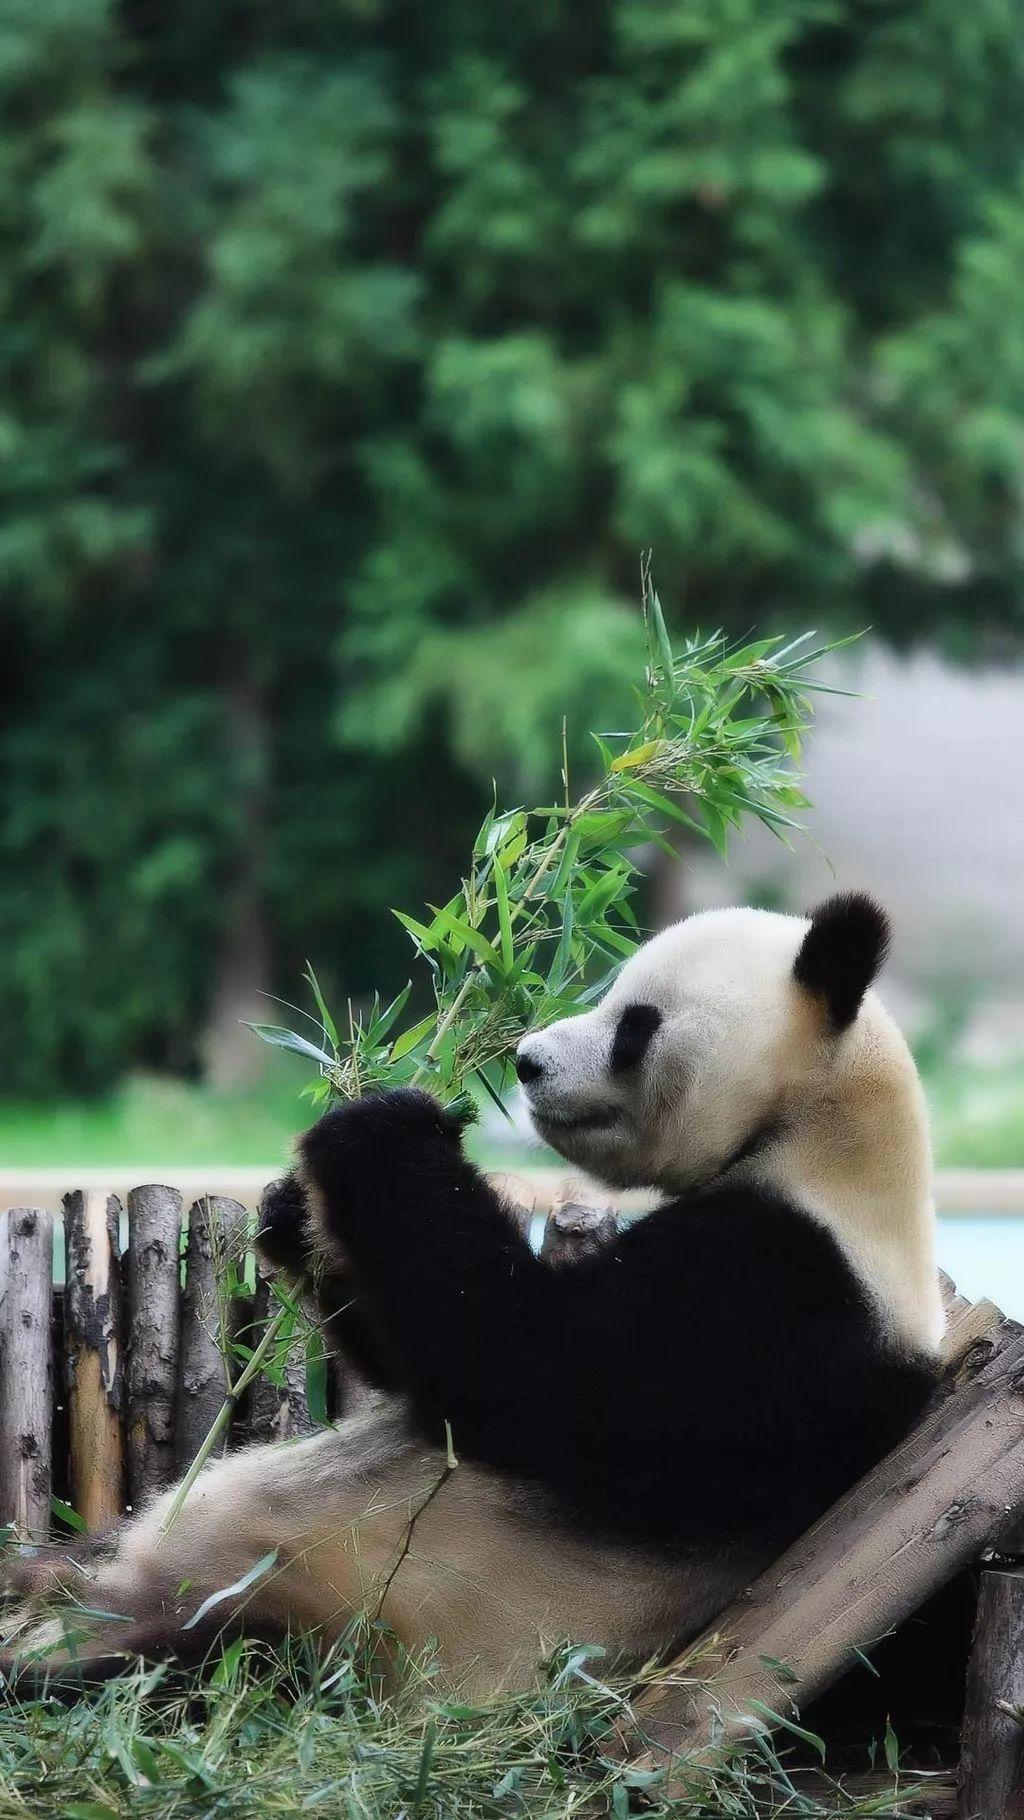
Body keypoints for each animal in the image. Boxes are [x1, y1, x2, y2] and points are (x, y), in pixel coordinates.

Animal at [2, 891, 945, 1688]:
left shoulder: (783, 1295)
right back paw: (39, 1581)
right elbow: (411, 1363)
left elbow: (518, 1367)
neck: (827, 1138)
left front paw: (383, 1120)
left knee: (203, 1660)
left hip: (321, 1623)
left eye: (635, 1024)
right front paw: (291, 1212)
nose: (526, 1061)